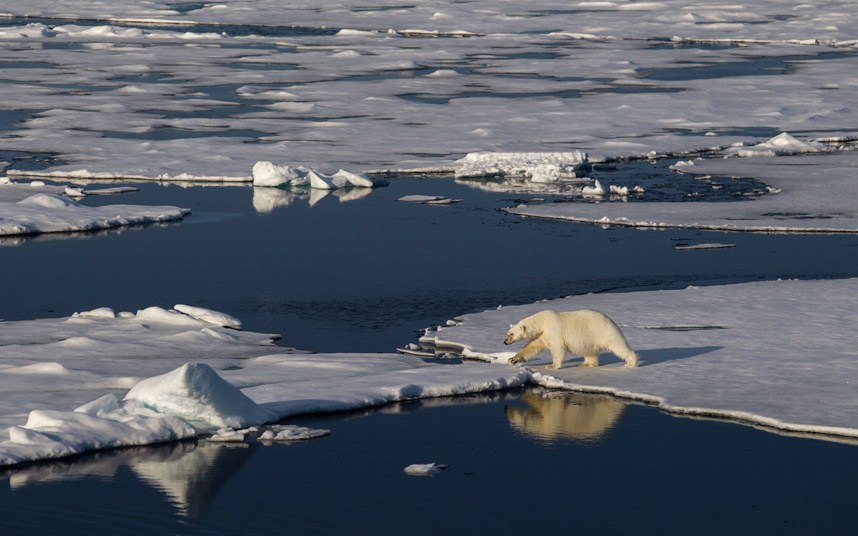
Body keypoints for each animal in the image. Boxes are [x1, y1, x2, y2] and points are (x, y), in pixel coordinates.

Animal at [502, 310, 636, 368]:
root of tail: (611, 321)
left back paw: (631, 363)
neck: (542, 322)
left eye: (511, 334)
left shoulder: (553, 330)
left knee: (618, 346)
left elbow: (557, 348)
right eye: (507, 333)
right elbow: (532, 347)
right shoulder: (542, 335)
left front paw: (551, 366)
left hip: (603, 332)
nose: (505, 342)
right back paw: (586, 364)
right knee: (589, 351)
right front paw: (513, 359)